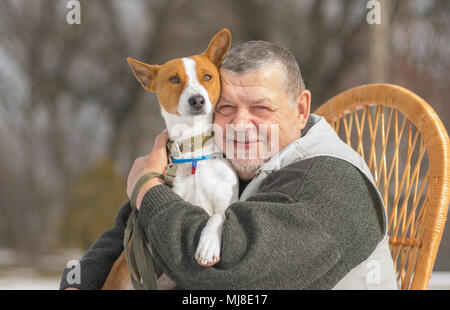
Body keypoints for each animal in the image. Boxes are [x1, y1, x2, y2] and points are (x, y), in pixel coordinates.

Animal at [102, 29, 239, 290]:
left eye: (207, 76)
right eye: (174, 79)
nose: (197, 100)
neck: (194, 153)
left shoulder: (226, 202)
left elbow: (218, 216)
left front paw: (207, 246)